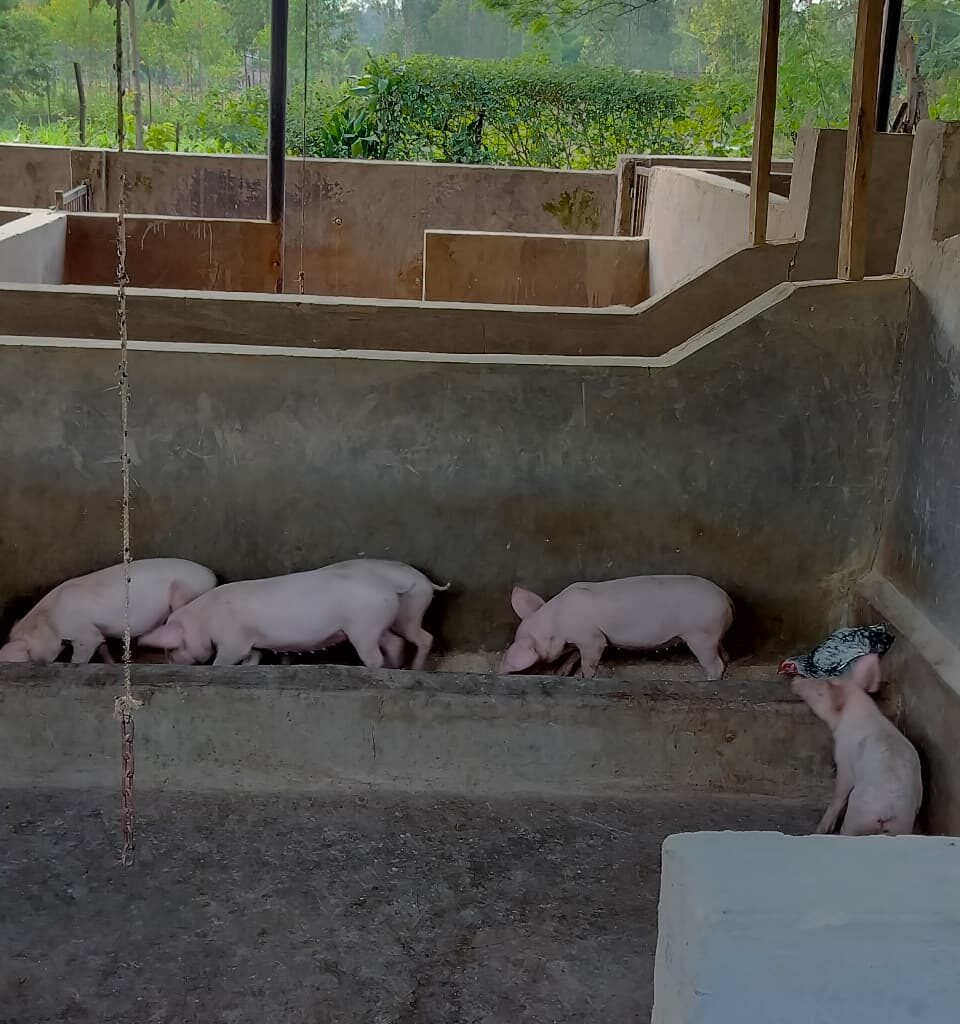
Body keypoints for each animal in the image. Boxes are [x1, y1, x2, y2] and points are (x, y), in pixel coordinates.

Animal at [0, 558, 217, 665]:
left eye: (25, 656)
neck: (50, 621)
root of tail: (212, 575)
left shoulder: (84, 634)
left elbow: (82, 655)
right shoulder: (97, 631)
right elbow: (103, 646)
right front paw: (111, 664)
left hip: (184, 595)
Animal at [138, 559, 448, 669]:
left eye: (174, 647)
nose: (170, 662)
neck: (206, 619)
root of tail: (390, 585)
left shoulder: (233, 640)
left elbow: (224, 660)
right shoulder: (251, 640)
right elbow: (253, 657)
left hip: (364, 626)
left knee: (382, 653)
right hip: (381, 622)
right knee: (399, 641)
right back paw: (400, 669)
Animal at [499, 574, 734, 680]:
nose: (500, 672)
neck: (557, 621)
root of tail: (726, 599)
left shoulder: (591, 638)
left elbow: (589, 660)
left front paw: (584, 677)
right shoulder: (577, 640)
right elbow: (572, 656)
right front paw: (562, 673)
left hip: (701, 635)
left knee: (715, 665)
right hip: (712, 636)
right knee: (724, 656)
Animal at [792, 676, 922, 836]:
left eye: (820, 693)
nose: (795, 679)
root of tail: (887, 810)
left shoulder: (844, 758)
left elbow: (841, 789)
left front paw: (820, 830)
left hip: (856, 819)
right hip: (902, 825)